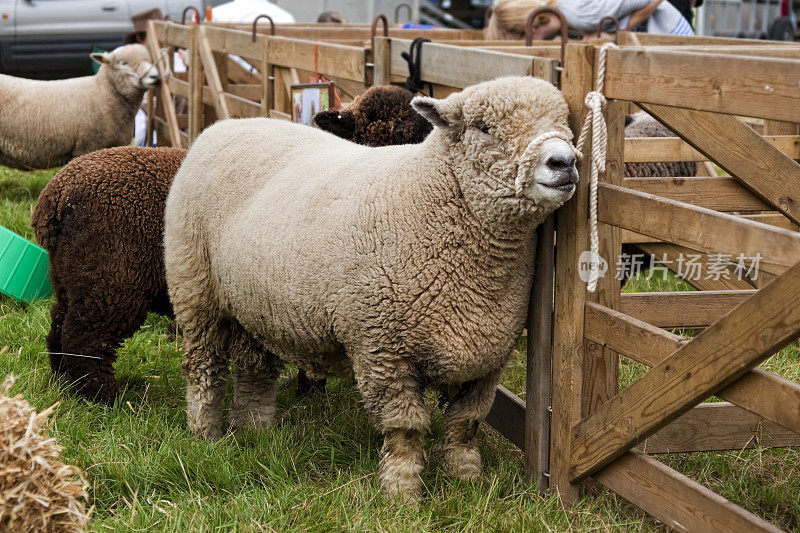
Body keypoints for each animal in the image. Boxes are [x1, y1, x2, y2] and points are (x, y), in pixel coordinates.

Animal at [164, 77, 576, 500]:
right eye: (484, 128)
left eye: (565, 121)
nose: (564, 161)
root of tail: (226, 125)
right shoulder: (383, 350)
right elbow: (405, 429)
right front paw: (402, 493)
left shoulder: (488, 358)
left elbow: (465, 424)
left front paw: (467, 480)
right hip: (194, 286)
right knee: (203, 367)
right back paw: (205, 433)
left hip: (256, 303)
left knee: (255, 367)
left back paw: (254, 429)